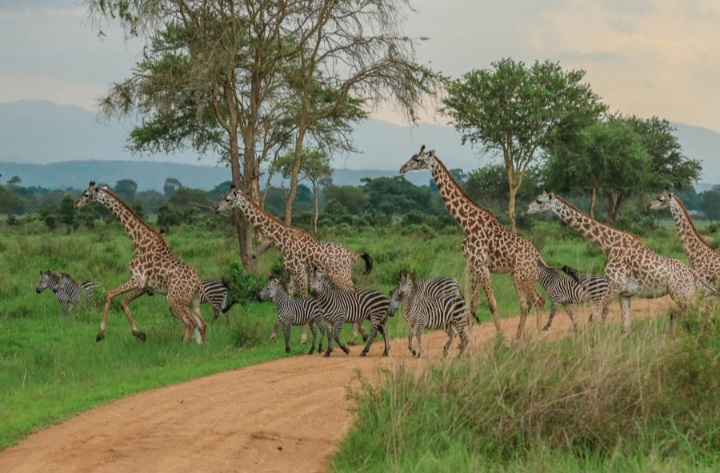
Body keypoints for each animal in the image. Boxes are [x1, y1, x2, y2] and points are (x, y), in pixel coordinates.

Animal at [74, 181, 208, 344]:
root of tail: (197, 282)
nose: (75, 204)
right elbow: (123, 302)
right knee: (202, 324)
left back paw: (183, 345)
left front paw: (100, 334)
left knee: (190, 323)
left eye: (86, 194)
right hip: (192, 301)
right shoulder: (145, 286)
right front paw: (139, 334)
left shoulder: (138, 279)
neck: (138, 240)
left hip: (175, 298)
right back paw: (202, 346)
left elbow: (109, 294)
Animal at [215, 185, 371, 343]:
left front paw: (303, 338)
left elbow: (304, 300)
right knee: (354, 292)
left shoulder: (301, 273)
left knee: (353, 293)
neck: (283, 242)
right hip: (341, 276)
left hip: (340, 275)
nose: (216, 208)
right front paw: (274, 336)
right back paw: (362, 333)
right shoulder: (292, 275)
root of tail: (351, 254)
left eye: (227, 199)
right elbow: (287, 302)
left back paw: (354, 335)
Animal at [399, 145, 545, 340]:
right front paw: (469, 341)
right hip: (516, 275)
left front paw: (500, 339)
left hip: (524, 274)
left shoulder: (482, 265)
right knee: (525, 304)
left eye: (417, 159)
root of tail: (537, 255)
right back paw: (518, 338)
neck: (466, 223)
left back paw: (537, 336)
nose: (402, 169)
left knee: (538, 300)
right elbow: (473, 304)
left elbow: (492, 303)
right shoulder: (473, 265)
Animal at [524, 190, 714, 331]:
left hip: (683, 294)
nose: (525, 210)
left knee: (701, 313)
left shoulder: (615, 285)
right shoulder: (625, 293)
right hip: (688, 294)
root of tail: (692, 272)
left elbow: (594, 316)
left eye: (539, 201)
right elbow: (625, 326)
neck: (609, 245)